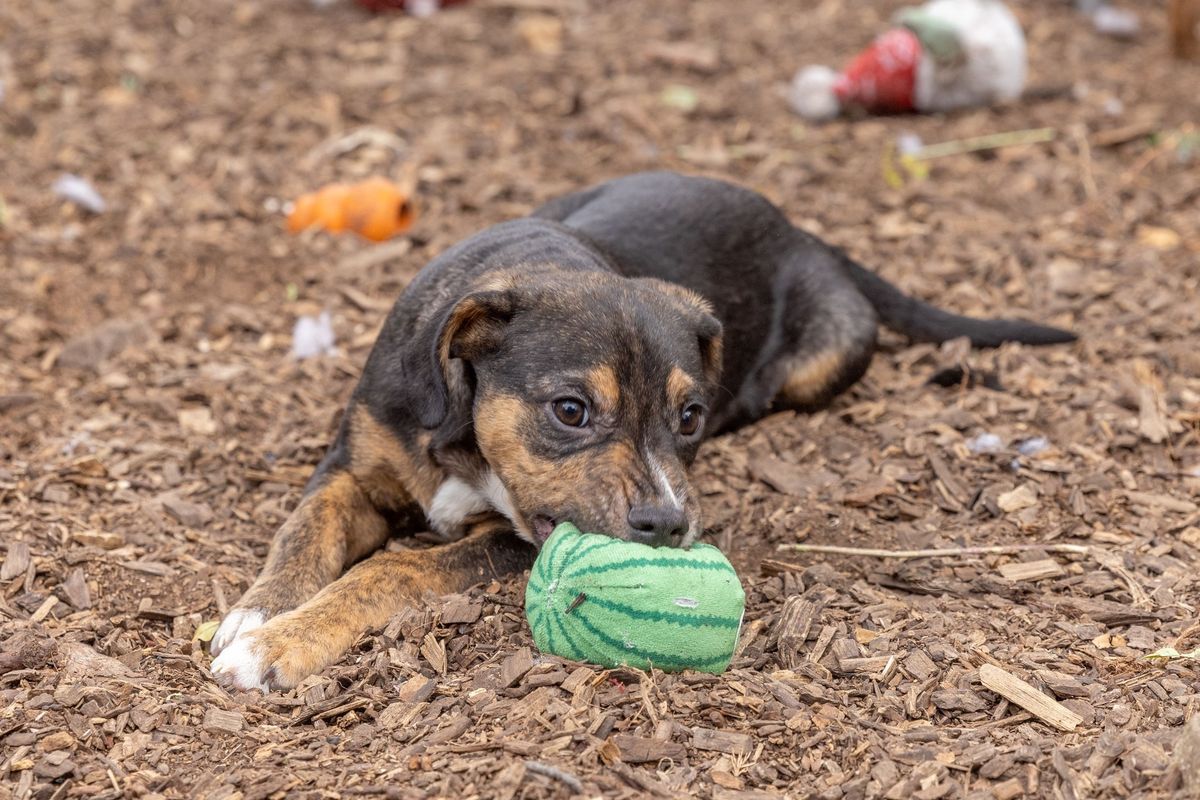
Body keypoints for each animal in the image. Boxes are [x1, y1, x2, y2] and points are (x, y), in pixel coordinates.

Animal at [208, 170, 1080, 690]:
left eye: (688, 417)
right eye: (570, 410)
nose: (667, 522)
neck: (461, 432)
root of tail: (803, 231)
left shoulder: (511, 540)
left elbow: (396, 571)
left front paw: (279, 642)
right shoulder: (350, 470)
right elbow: (304, 531)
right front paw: (259, 614)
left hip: (826, 353)